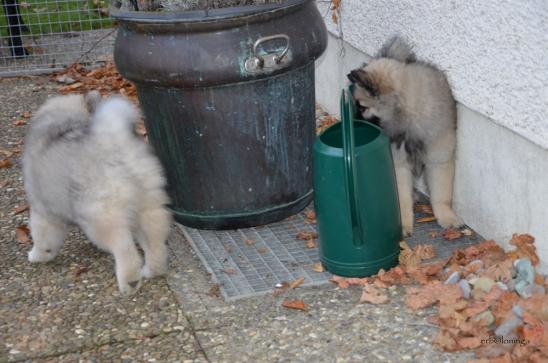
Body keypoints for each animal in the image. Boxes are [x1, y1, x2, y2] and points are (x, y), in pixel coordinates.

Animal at [23, 92, 171, 294]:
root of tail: (112, 141)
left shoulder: (43, 211)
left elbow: (41, 237)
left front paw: (37, 255)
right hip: (149, 205)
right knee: (154, 239)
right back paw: (152, 270)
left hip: (102, 218)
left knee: (124, 248)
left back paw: (130, 282)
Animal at [346, 36, 462, 236]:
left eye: (362, 107)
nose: (353, 123)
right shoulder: (398, 163)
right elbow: (402, 197)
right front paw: (404, 223)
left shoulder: (439, 158)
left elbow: (441, 194)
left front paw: (446, 216)